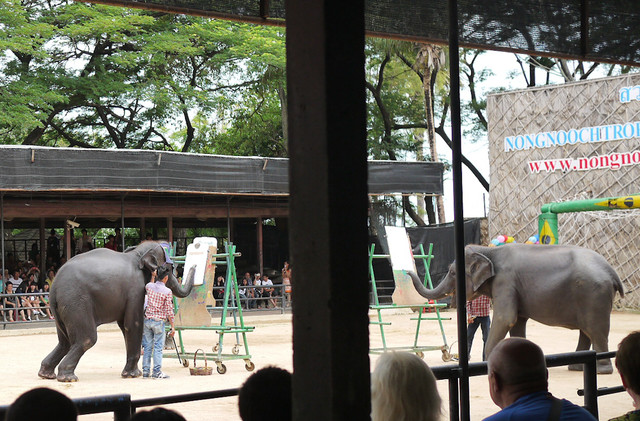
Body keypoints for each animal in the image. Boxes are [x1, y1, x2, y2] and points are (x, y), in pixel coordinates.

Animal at [37, 240, 195, 380]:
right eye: (170, 268)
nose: (194, 266)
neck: (137, 253)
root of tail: (55, 285)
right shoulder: (135, 290)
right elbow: (133, 325)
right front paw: (132, 375)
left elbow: (124, 326)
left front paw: (132, 373)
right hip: (75, 302)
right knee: (87, 339)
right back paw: (68, 377)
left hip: (60, 308)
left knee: (65, 342)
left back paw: (46, 374)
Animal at [410, 241, 624, 372]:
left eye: (453, 272)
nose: (406, 271)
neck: (488, 251)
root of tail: (612, 271)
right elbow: (518, 323)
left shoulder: (505, 280)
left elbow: (506, 318)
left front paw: (487, 364)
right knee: (586, 330)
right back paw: (577, 367)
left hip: (594, 294)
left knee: (595, 329)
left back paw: (602, 369)